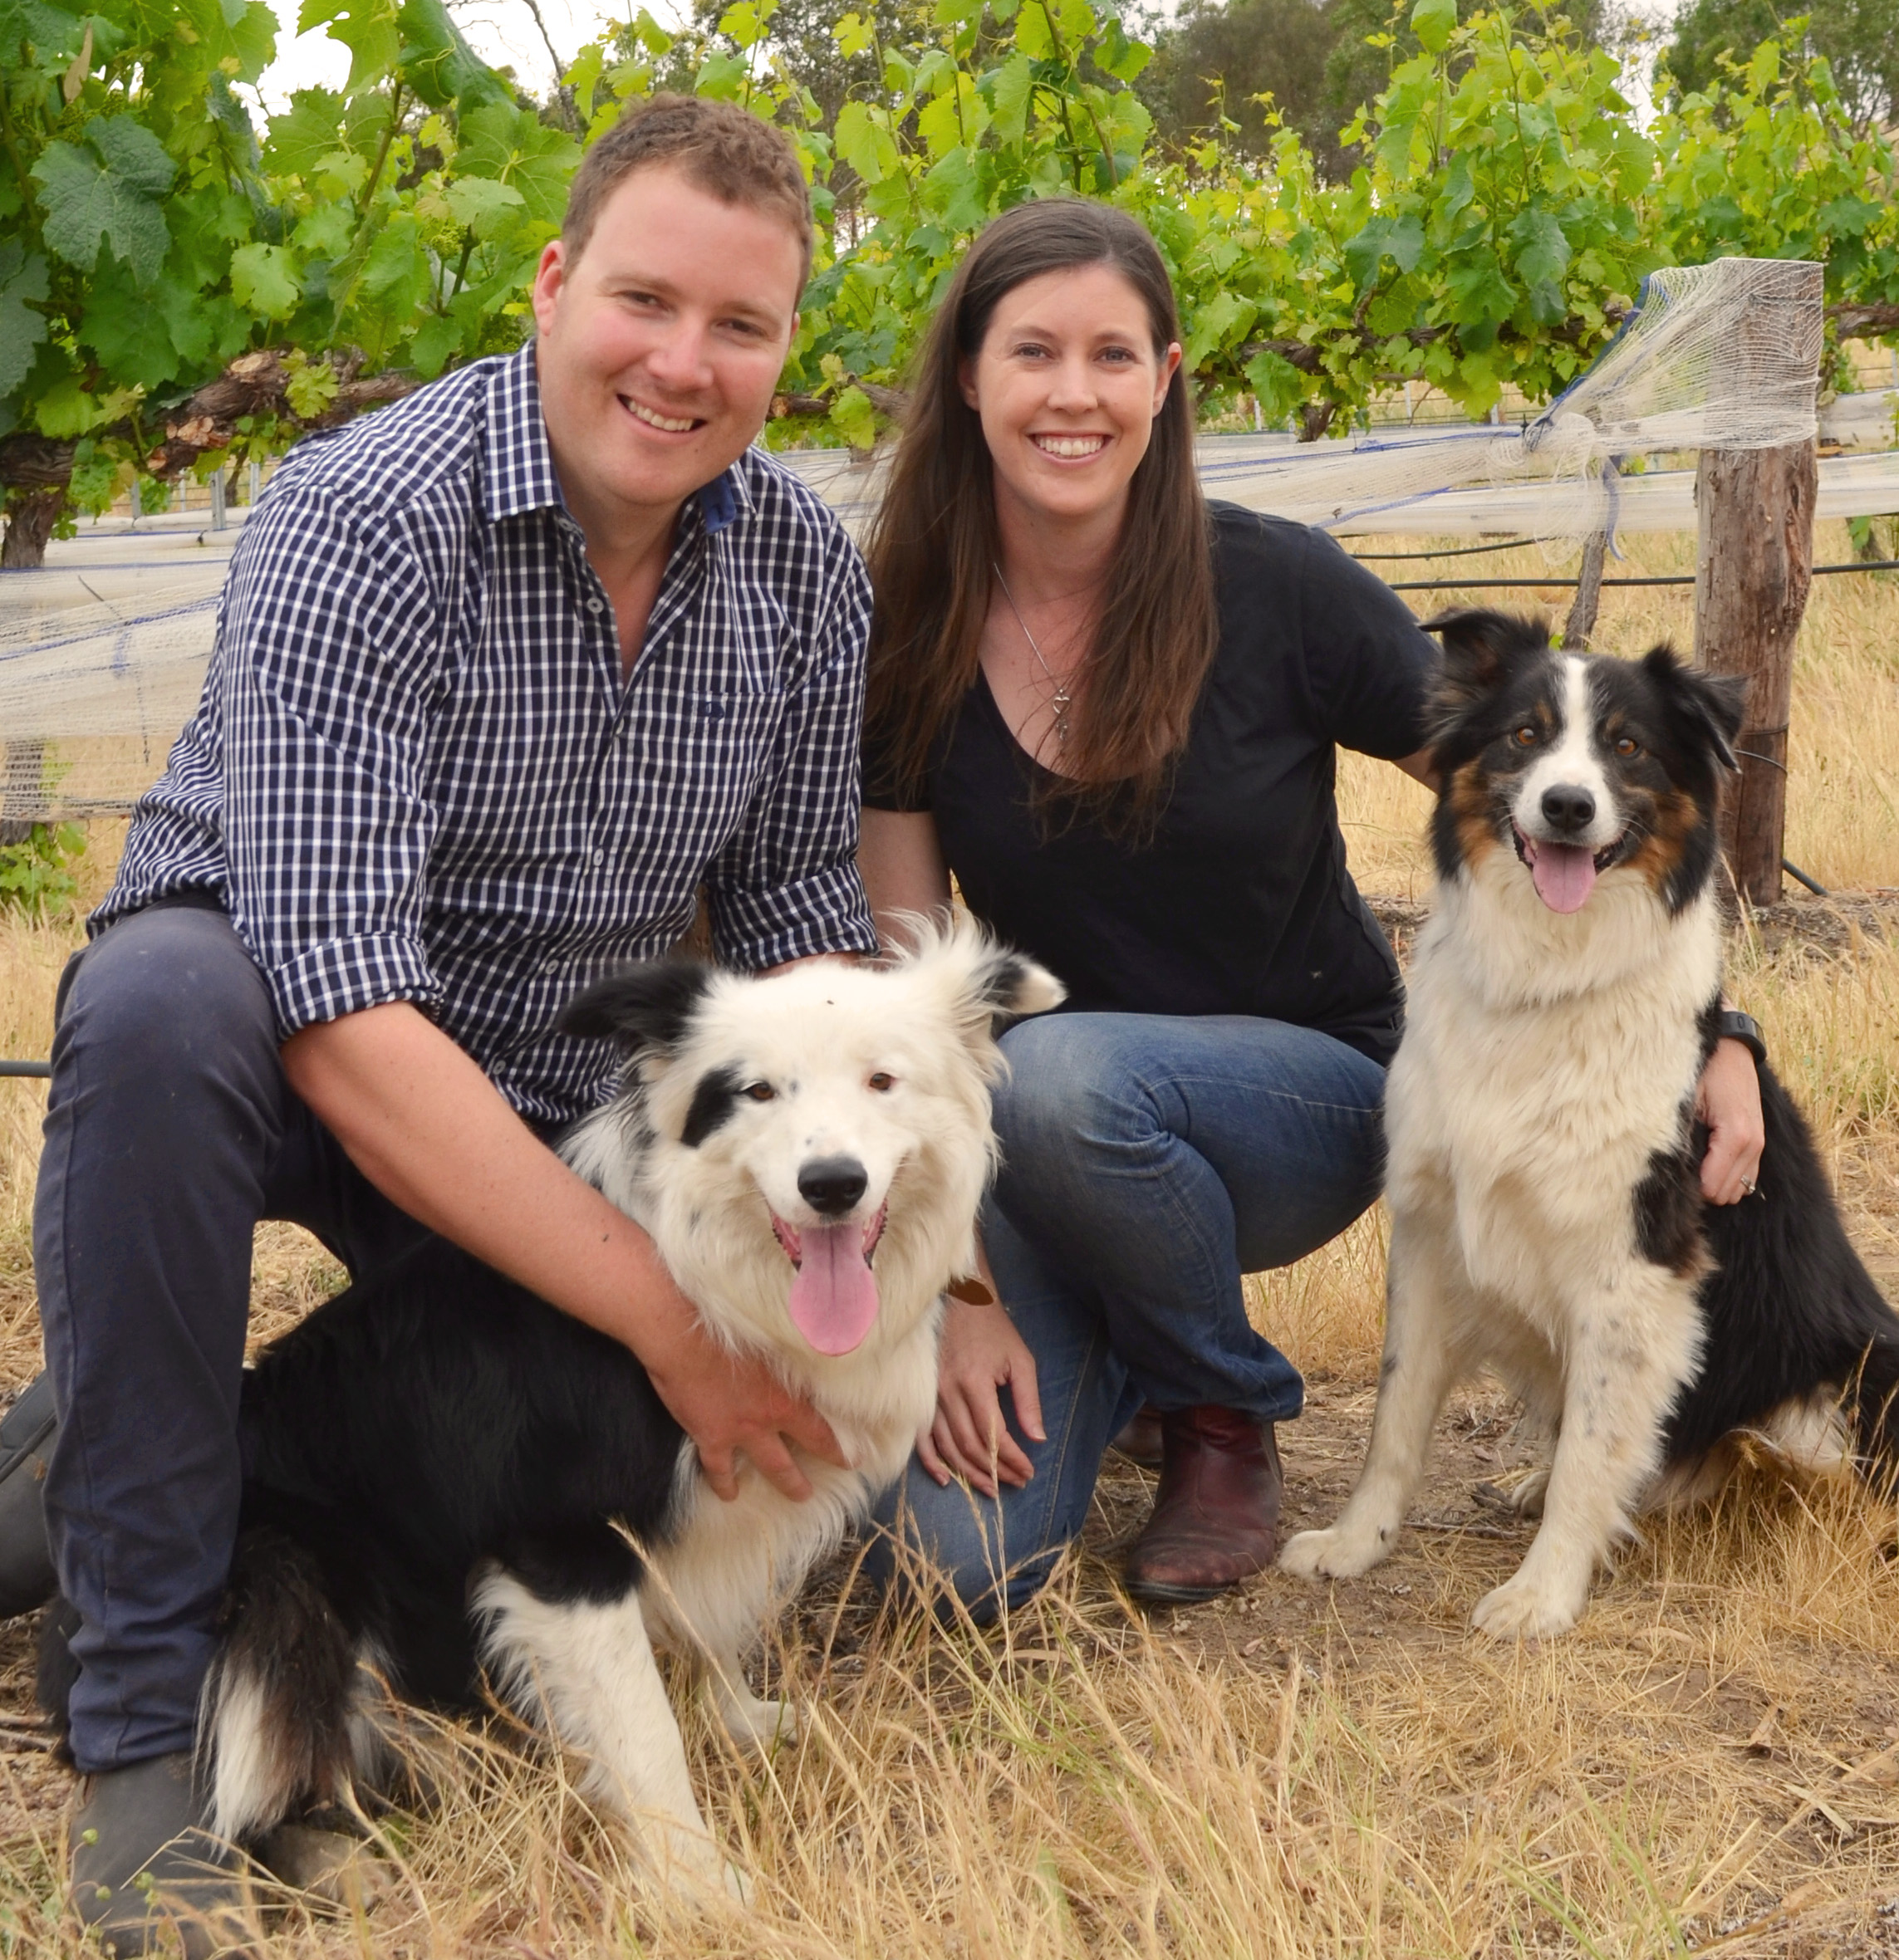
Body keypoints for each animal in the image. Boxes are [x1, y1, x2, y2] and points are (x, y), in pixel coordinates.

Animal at [40, 924, 1066, 1889]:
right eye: (754, 1092)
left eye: (883, 1079)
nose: (832, 1185)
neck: (716, 1283)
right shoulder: (559, 1547)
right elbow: (644, 1731)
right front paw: (699, 1888)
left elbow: (714, 1626)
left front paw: (742, 1720)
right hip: (283, 1571)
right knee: (266, 1763)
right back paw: (328, 1857)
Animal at [1278, 611, 1897, 1638]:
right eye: (1525, 736)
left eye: (1628, 747)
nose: (1567, 807)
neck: (1550, 975)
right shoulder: (1432, 1229)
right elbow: (1396, 1412)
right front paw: (1357, 1541)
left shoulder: (1633, 1270)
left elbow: (1594, 1449)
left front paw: (1543, 1592)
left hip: (1840, 1386)